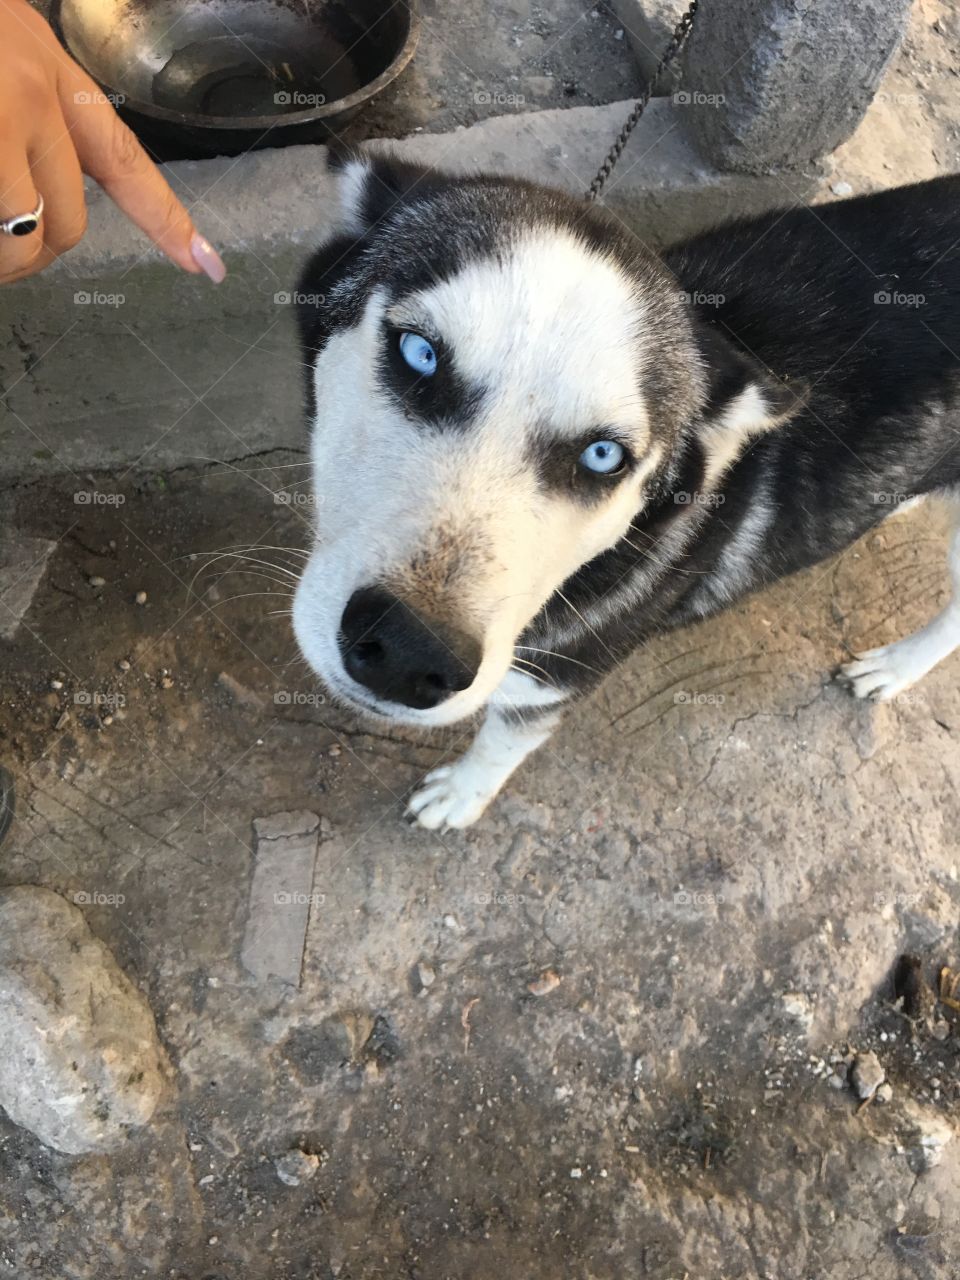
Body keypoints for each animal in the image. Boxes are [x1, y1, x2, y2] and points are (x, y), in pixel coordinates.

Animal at [293, 152, 960, 829]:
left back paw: (895, 667)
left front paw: (461, 794)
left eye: (603, 455)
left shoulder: (553, 677)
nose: (409, 650)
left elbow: (504, 740)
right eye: (420, 353)